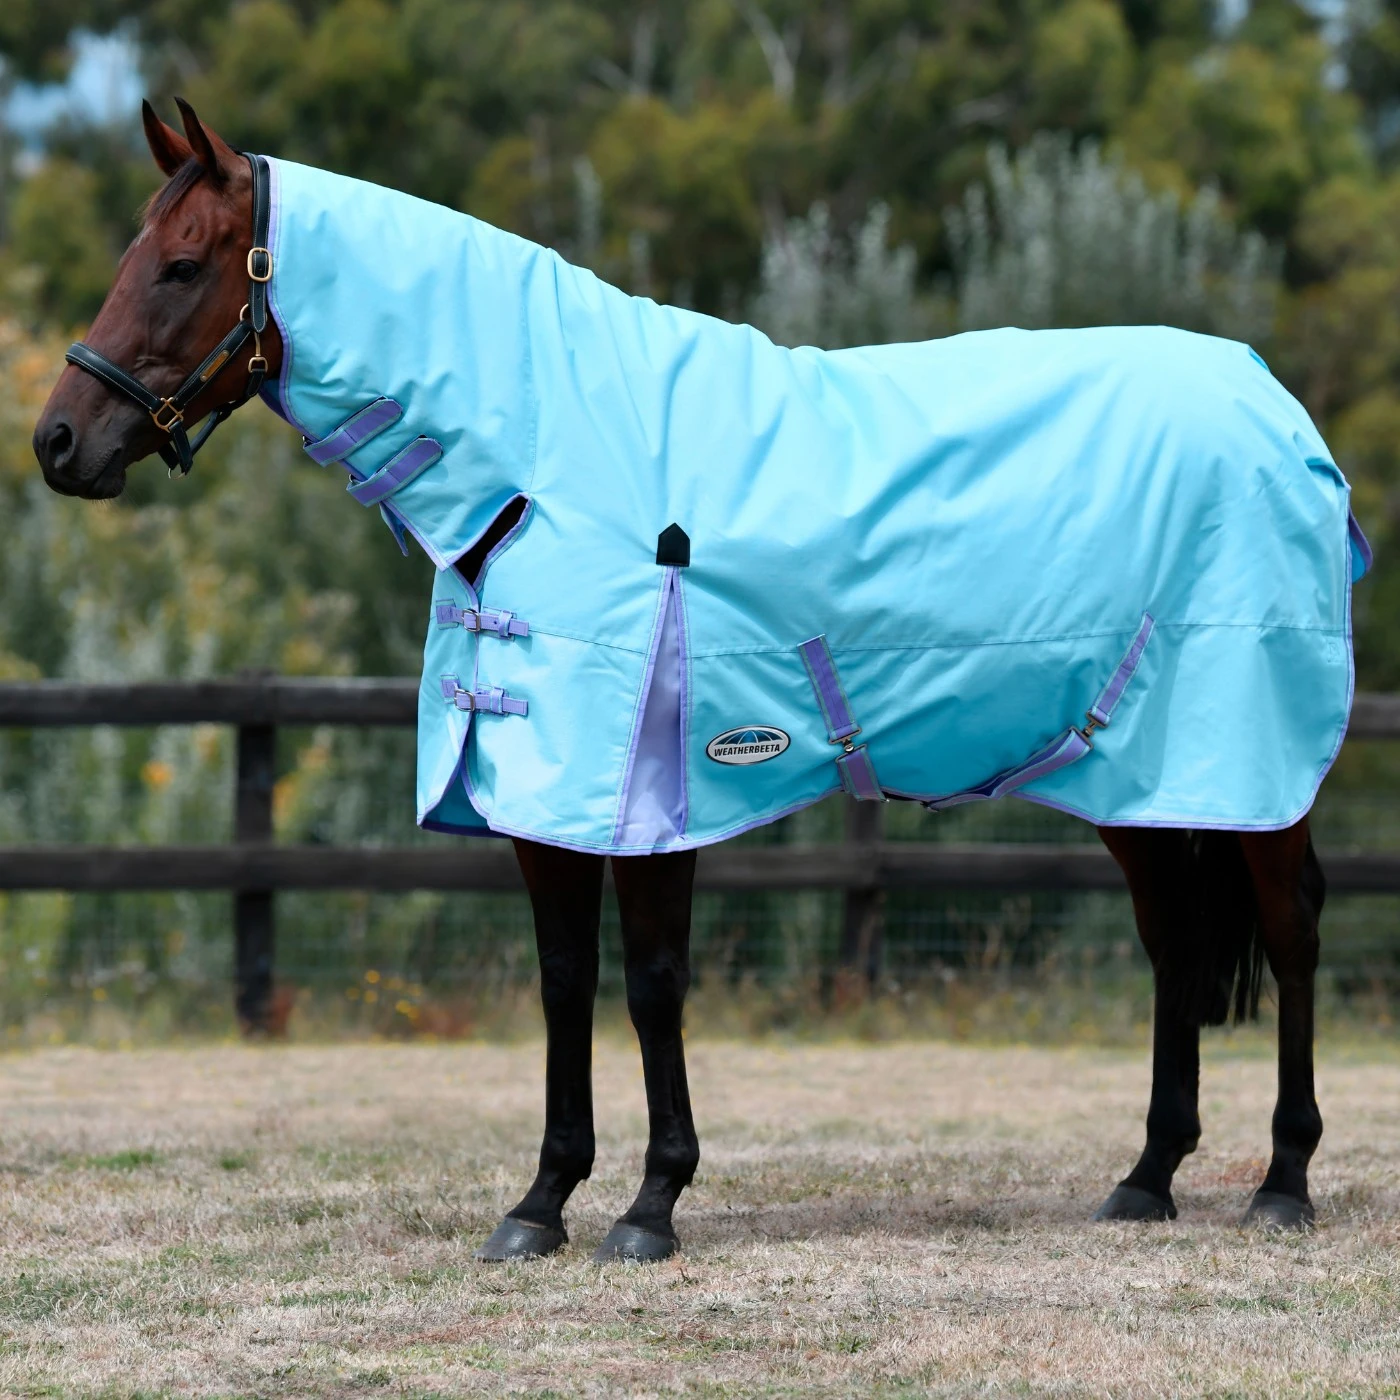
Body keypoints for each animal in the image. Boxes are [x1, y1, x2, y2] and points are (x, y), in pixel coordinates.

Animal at [33, 99, 1355, 1260]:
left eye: (181, 265)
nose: (58, 441)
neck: (541, 464)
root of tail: (1275, 407)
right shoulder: (542, 800)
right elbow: (565, 983)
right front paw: (540, 1202)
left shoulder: (652, 796)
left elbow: (654, 986)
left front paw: (650, 1204)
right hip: (1137, 779)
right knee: (1173, 944)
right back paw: (1145, 1178)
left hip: (1256, 767)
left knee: (1290, 929)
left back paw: (1282, 1182)